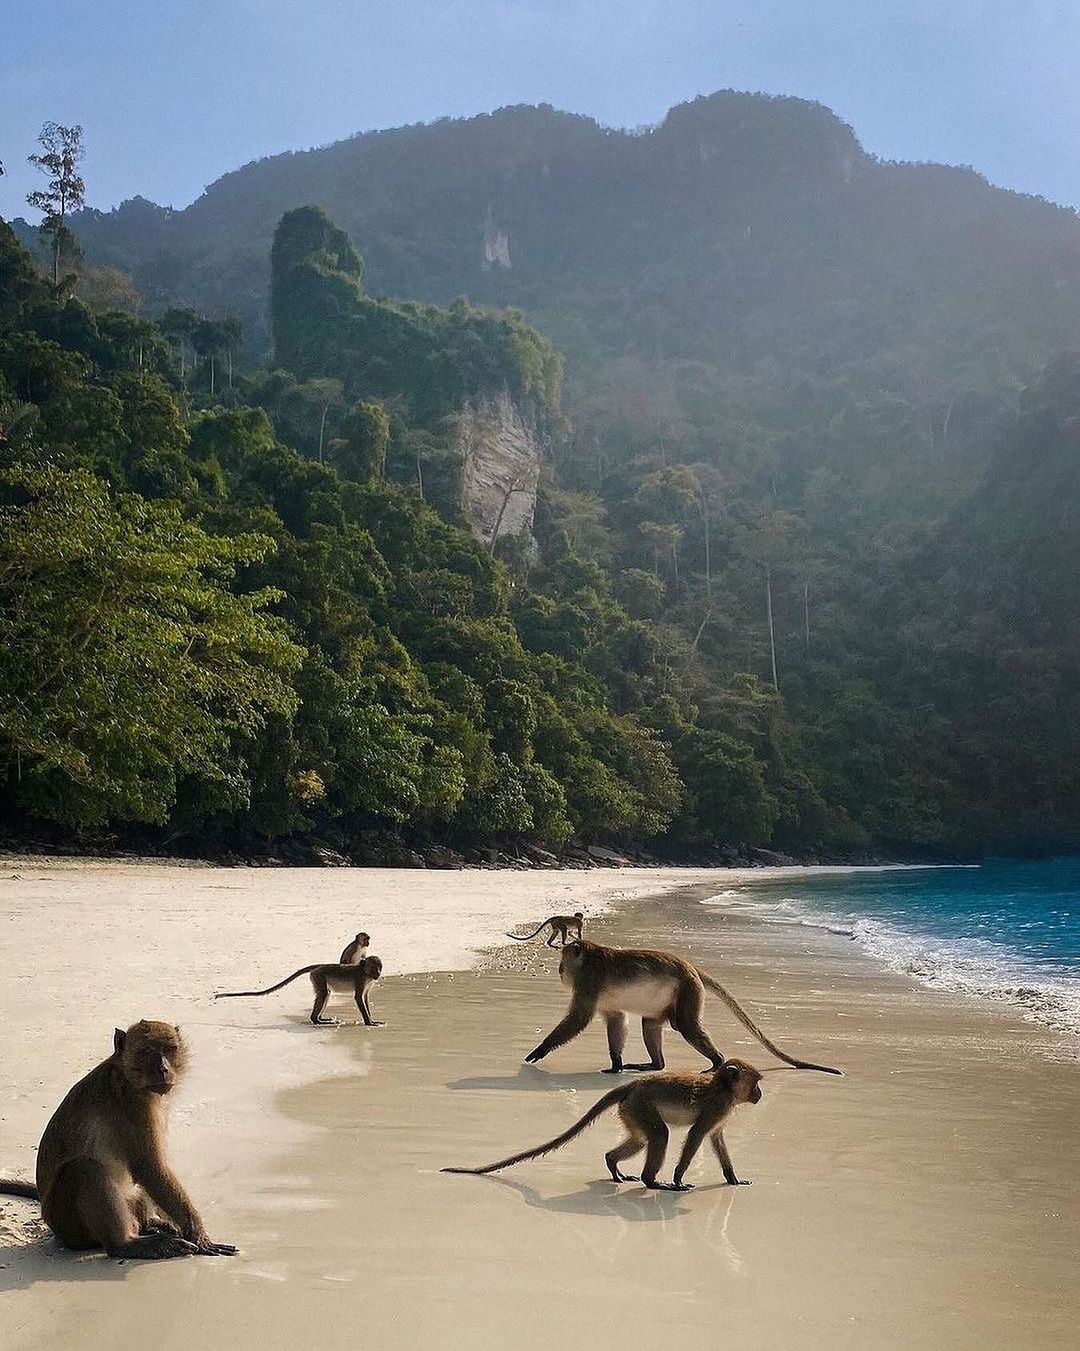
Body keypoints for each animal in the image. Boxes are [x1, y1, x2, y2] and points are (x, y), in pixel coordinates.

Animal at [0, 1021, 236, 1260]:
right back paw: (125, 1244)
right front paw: (200, 1236)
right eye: (146, 1051)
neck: (127, 1076)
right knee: (84, 1169)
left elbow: (153, 1167)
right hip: (69, 1224)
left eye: (169, 1049)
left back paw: (149, 1224)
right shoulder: (132, 1104)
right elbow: (149, 1168)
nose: (163, 1069)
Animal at [214, 955, 383, 1025]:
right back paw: (316, 1020)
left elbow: (365, 998)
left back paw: (319, 1019)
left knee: (325, 994)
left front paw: (372, 1019)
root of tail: (318, 966)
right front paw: (369, 1022)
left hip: (317, 977)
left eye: (379, 967)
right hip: (318, 976)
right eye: (373, 967)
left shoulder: (368, 983)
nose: (378, 974)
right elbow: (358, 998)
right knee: (323, 994)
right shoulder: (361, 979)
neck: (366, 973)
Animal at [444, 1058, 763, 1190]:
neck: (725, 1088)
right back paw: (652, 1181)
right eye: (757, 1082)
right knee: (659, 1135)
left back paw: (613, 1164)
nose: (760, 1094)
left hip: (631, 1110)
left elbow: (716, 1138)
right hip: (640, 1104)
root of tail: (632, 1086)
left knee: (643, 1139)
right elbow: (697, 1134)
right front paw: (677, 1178)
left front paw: (732, 1178)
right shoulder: (717, 1105)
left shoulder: (721, 1113)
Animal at [523, 939, 842, 1076]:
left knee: (686, 1026)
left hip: (688, 990)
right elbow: (616, 1020)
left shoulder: (588, 982)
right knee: (651, 1023)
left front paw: (541, 1049)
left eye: (563, 961)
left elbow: (578, 1019)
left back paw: (716, 1062)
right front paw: (616, 1064)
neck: (588, 958)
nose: (560, 971)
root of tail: (691, 968)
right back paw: (655, 1065)